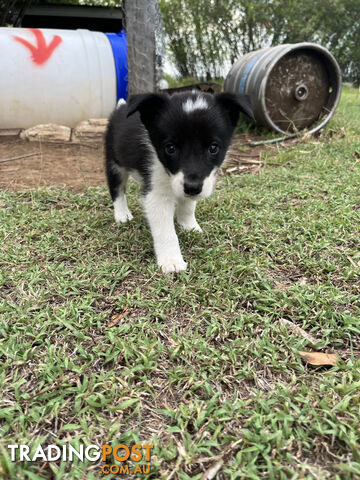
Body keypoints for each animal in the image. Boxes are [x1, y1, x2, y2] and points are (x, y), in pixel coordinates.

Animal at [105, 92, 253, 272]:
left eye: (213, 148)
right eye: (170, 148)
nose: (192, 188)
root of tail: (120, 108)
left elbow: (188, 207)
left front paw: (189, 226)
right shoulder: (156, 194)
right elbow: (165, 230)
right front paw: (171, 261)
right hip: (114, 163)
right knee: (117, 190)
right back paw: (122, 215)